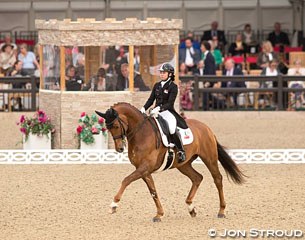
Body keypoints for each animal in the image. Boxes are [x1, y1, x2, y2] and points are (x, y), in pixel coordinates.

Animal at [96, 102, 246, 222]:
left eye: (116, 125)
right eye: (107, 127)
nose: (120, 148)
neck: (141, 134)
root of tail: (206, 128)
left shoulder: (145, 167)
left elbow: (126, 180)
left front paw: (114, 205)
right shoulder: (144, 170)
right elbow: (153, 191)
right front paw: (159, 214)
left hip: (209, 158)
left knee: (217, 179)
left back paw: (221, 211)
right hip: (183, 165)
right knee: (197, 178)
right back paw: (191, 208)